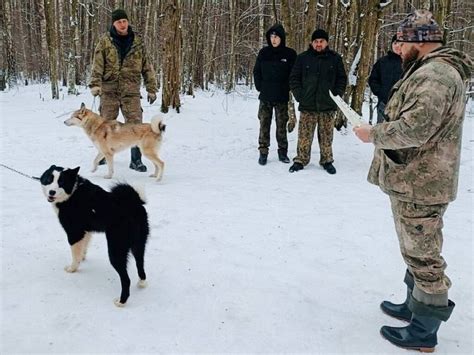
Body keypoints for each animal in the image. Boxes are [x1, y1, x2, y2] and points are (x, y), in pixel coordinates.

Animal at [40, 165, 149, 308]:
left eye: (61, 182)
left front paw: (72, 268)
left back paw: (121, 301)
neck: (73, 191)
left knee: (126, 279)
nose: (52, 192)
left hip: (116, 249)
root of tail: (134, 205)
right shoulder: (85, 231)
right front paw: (82, 258)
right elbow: (82, 248)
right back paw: (142, 282)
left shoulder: (74, 232)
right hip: (139, 245)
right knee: (140, 264)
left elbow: (75, 254)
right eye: (49, 179)